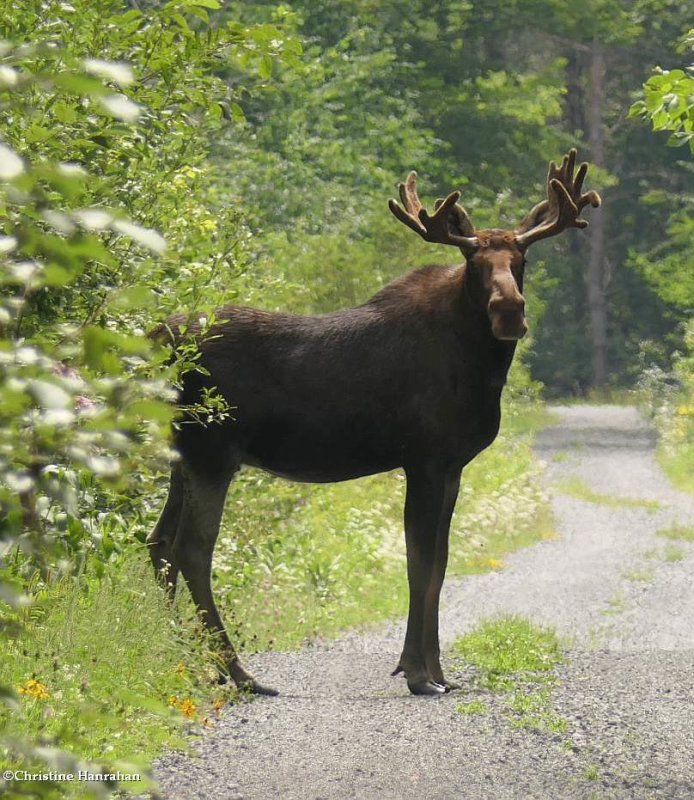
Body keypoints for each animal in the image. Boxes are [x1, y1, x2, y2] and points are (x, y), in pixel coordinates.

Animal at [148, 148, 604, 692]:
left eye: (522, 261)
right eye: (474, 262)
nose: (509, 310)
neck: (480, 369)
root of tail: (155, 337)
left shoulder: (452, 465)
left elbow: (440, 564)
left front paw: (439, 671)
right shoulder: (424, 458)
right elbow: (419, 563)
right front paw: (417, 672)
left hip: (184, 454)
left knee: (158, 542)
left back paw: (179, 659)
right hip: (211, 451)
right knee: (192, 549)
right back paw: (237, 671)